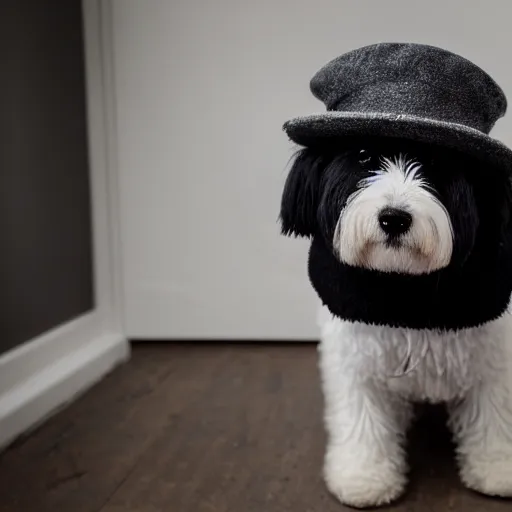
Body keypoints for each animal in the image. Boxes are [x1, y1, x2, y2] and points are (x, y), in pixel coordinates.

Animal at [280, 138, 512, 510]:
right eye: (363, 156)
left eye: (436, 161)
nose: (394, 219)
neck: (405, 291)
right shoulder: (355, 358)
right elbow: (362, 418)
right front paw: (364, 476)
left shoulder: (493, 356)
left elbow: (495, 413)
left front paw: (498, 467)